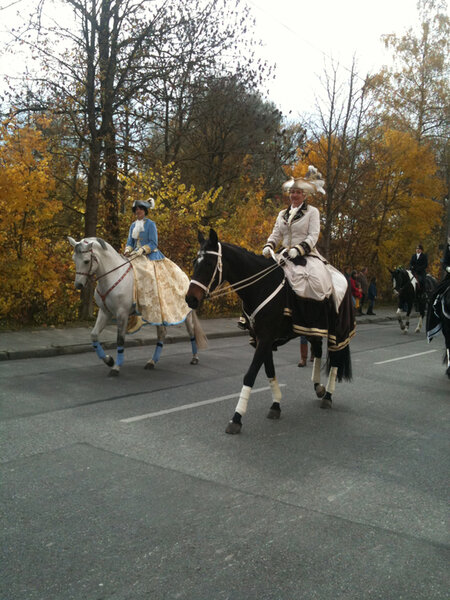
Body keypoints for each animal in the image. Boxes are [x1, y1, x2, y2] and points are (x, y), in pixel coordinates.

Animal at [68, 238, 207, 376]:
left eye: (86, 261)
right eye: (74, 259)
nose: (78, 285)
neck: (113, 276)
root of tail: (185, 276)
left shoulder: (122, 314)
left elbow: (120, 340)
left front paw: (116, 367)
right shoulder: (105, 312)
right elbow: (94, 335)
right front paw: (109, 360)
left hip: (186, 314)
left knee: (191, 332)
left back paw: (194, 358)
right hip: (158, 315)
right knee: (162, 333)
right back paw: (152, 362)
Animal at [185, 227, 356, 434]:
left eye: (209, 263)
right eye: (195, 262)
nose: (190, 299)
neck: (261, 286)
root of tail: (342, 275)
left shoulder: (266, 339)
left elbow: (250, 375)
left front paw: (237, 417)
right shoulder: (261, 340)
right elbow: (269, 371)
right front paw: (276, 405)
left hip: (338, 332)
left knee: (336, 360)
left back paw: (328, 396)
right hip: (312, 328)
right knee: (317, 350)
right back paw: (319, 387)